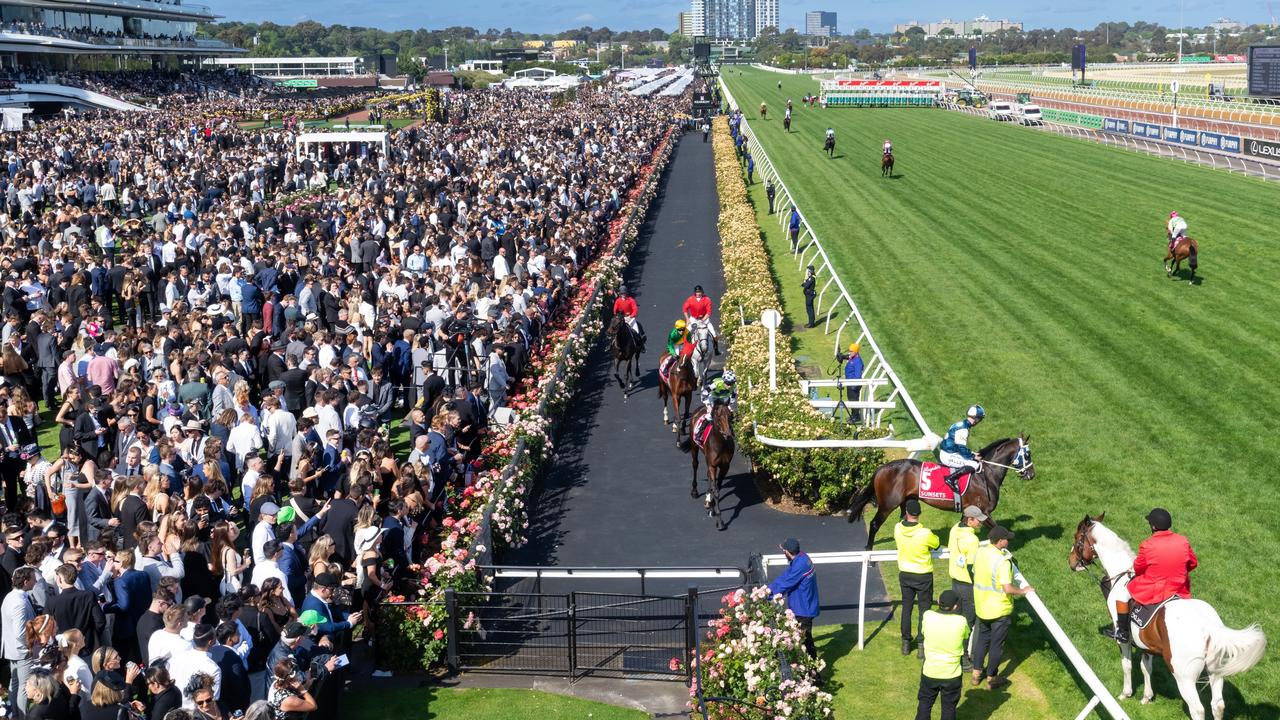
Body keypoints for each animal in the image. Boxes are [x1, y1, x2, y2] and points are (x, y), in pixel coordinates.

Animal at [686, 399, 737, 530]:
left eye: (730, 415)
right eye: (718, 416)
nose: (728, 434)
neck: (721, 444)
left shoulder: (725, 466)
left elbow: (717, 488)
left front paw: (712, 507)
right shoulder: (713, 465)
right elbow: (716, 491)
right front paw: (720, 521)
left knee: (708, 475)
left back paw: (708, 500)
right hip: (694, 447)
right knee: (695, 465)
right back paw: (694, 491)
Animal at [844, 435, 1034, 545]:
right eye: (1027, 454)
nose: (1031, 474)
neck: (986, 475)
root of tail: (882, 468)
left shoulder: (967, 511)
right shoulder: (983, 511)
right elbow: (999, 529)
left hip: (907, 501)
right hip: (888, 504)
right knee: (875, 524)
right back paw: (869, 552)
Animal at [1064, 512, 1264, 712]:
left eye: (1077, 537)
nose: (1071, 562)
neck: (1121, 575)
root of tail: (1210, 627)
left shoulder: (1124, 639)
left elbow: (1127, 665)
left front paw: (1125, 694)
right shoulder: (1146, 644)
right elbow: (1146, 667)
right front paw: (1146, 697)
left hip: (1184, 676)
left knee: (1198, 709)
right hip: (1215, 671)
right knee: (1218, 705)